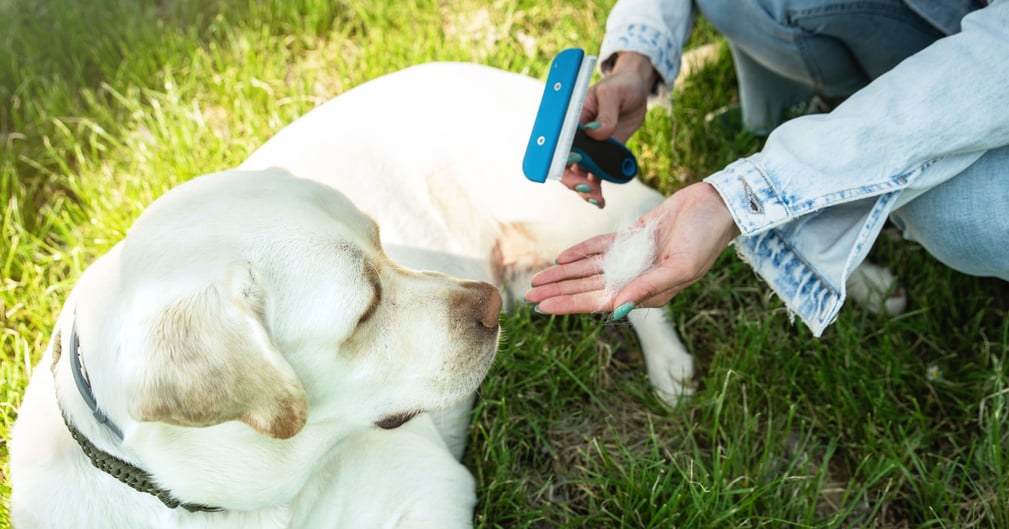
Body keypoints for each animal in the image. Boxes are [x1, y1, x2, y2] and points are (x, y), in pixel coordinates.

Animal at [9, 59, 694, 524]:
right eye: (364, 310)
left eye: (384, 241)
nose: (490, 306)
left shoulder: (433, 492)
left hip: (565, 206)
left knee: (639, 265)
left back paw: (669, 367)